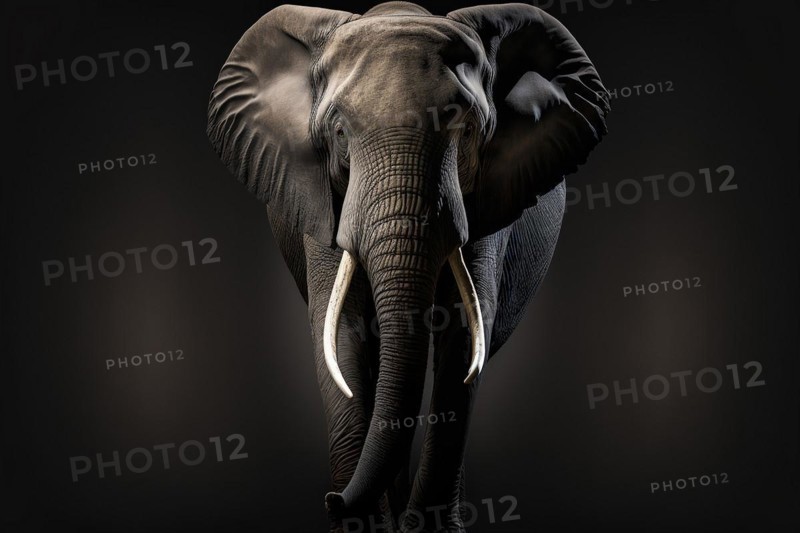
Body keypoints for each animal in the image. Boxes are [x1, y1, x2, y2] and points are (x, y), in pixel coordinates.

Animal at [207, 2, 609, 531]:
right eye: (339, 132)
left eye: (467, 130)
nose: (332, 500)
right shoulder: (322, 199)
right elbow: (340, 330)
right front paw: (363, 526)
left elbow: (463, 336)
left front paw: (429, 527)